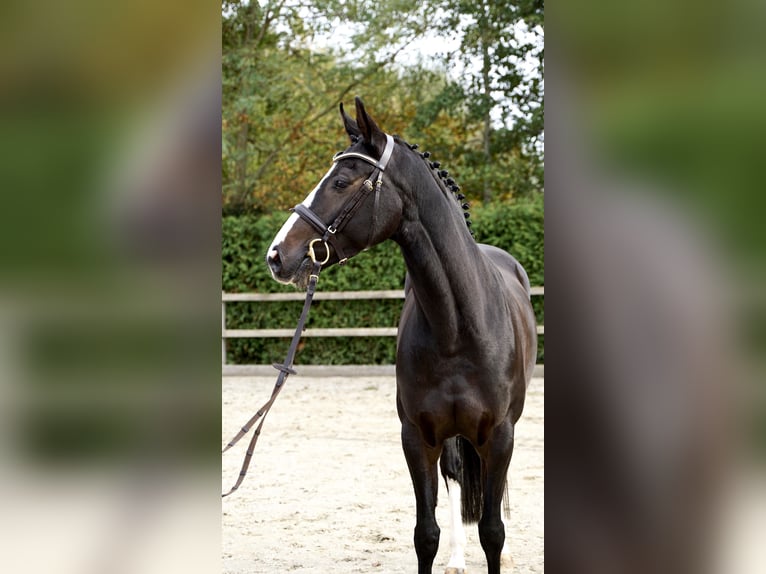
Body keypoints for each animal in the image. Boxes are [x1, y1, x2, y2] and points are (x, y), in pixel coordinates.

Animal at [265, 97, 537, 574]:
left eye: (340, 181)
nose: (277, 255)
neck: (458, 327)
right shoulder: (416, 437)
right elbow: (425, 534)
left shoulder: (500, 435)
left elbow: (492, 531)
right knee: (453, 477)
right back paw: (456, 558)